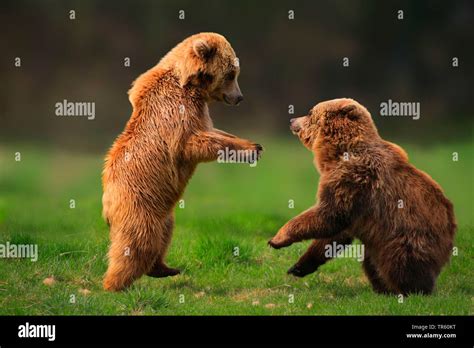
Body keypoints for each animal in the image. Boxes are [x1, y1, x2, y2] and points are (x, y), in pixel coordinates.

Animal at [102, 32, 262, 290]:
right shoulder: (177, 112)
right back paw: (115, 284)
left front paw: (250, 144)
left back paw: (165, 268)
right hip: (138, 205)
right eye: (231, 73)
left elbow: (215, 131)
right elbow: (195, 143)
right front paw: (251, 149)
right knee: (137, 243)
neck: (191, 85)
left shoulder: (199, 111)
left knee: (164, 235)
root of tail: (106, 204)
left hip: (164, 213)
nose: (239, 97)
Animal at [266, 98, 456, 296]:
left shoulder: (354, 180)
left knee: (399, 262)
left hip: (407, 236)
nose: (292, 120)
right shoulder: (353, 203)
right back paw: (383, 288)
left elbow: (329, 214)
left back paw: (408, 290)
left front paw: (277, 238)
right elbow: (336, 234)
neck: (337, 153)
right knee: (370, 259)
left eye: (310, 112)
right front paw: (298, 267)